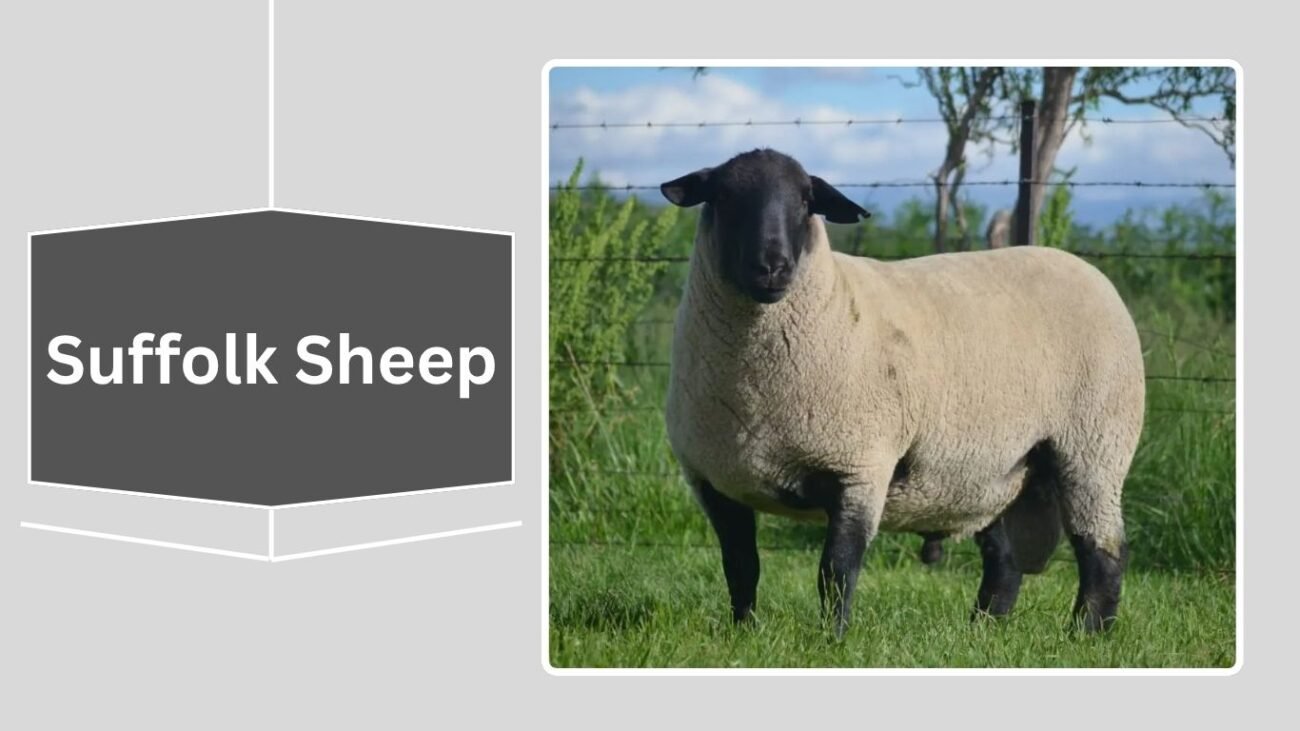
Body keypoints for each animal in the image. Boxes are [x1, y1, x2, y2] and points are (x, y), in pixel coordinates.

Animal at [659, 148, 1144, 637]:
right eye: (723, 197)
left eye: (805, 200)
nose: (772, 266)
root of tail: (1086, 269)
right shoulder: (712, 480)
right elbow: (741, 567)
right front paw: (743, 632)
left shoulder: (859, 466)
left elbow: (836, 571)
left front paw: (833, 640)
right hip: (995, 466)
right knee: (1004, 558)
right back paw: (983, 629)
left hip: (1094, 446)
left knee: (1103, 549)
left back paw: (1087, 633)